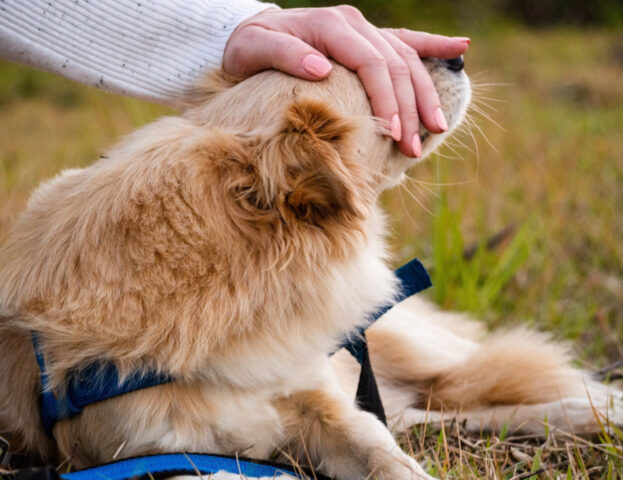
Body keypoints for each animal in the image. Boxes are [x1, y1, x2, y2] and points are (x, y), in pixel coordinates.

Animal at [0, 54, 620, 478]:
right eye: (380, 85)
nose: (457, 58)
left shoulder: (326, 407)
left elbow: (387, 458)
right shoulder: (151, 456)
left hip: (427, 357)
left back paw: (600, 411)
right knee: (455, 414)